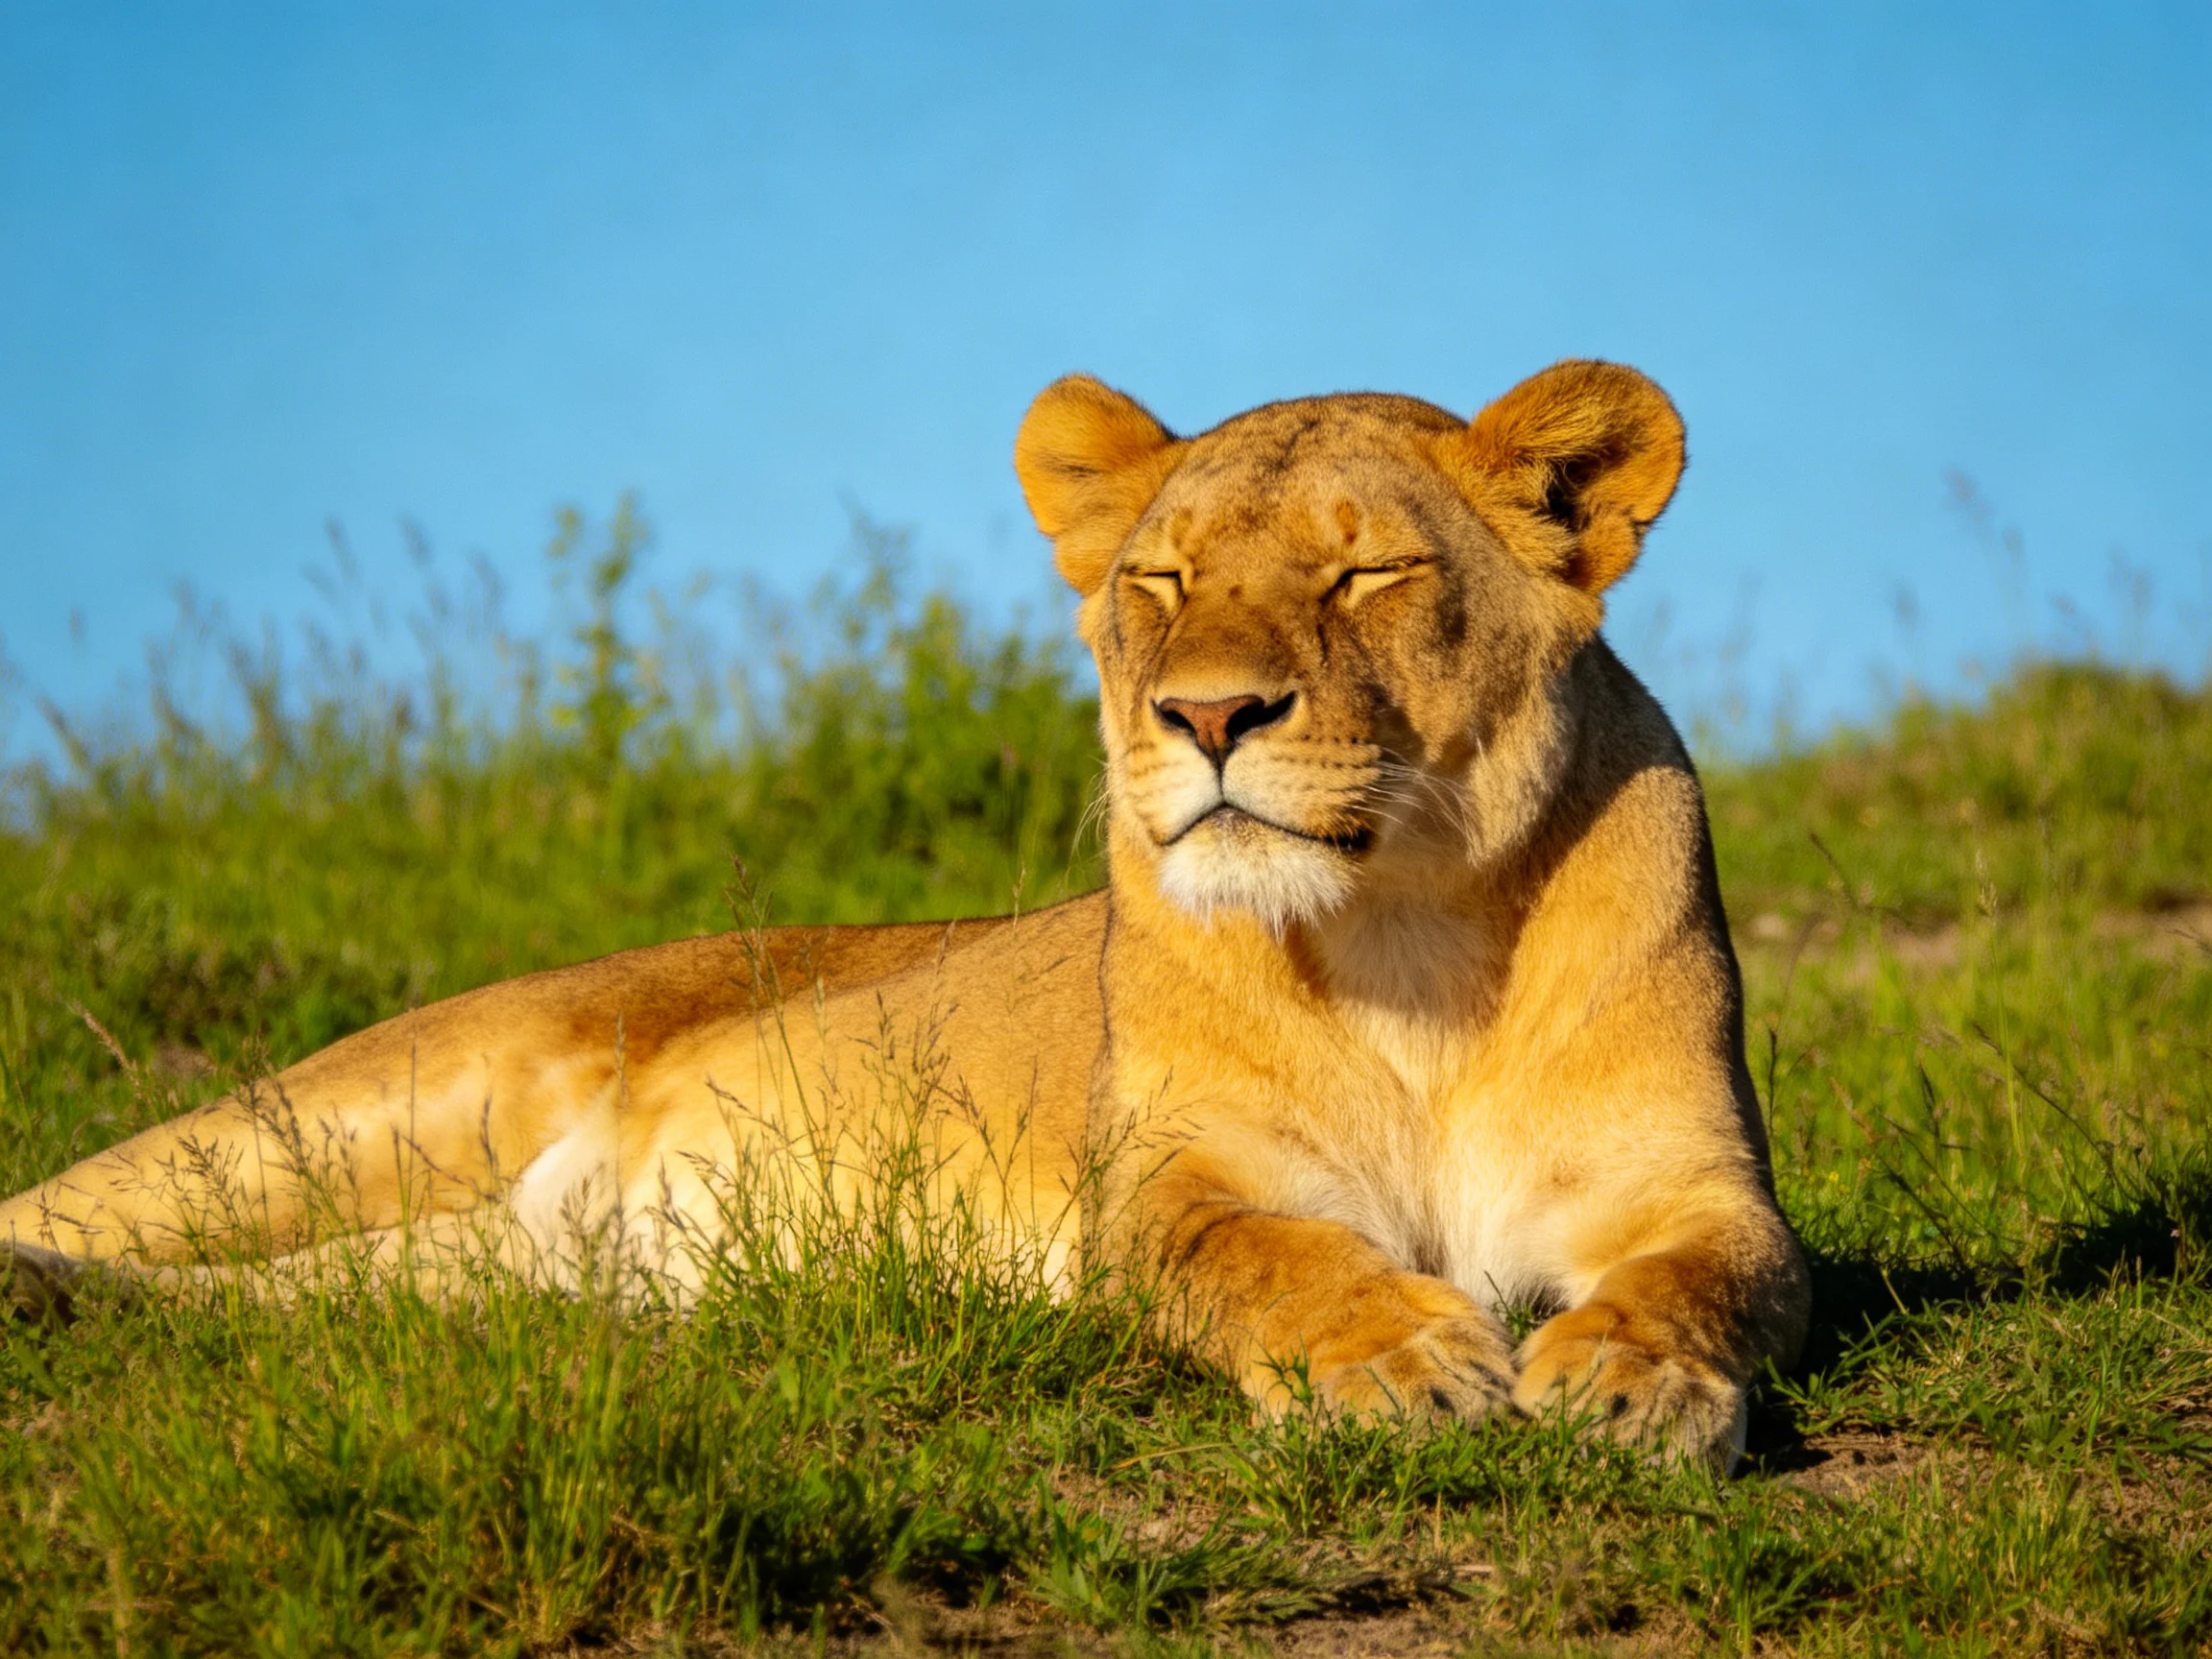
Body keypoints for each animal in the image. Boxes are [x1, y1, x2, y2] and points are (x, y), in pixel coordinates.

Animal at [1, 360, 1808, 1470]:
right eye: (1158, 583)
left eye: (1362, 575)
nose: (1206, 715)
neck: (1403, 934)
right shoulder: (1163, 1186)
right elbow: (1267, 1254)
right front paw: (1398, 1362)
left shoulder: (1699, 1187)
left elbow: (1704, 1278)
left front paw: (1631, 1379)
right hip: (349, 1113)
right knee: (98, 1199)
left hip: (472, 1276)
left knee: (281, 1312)